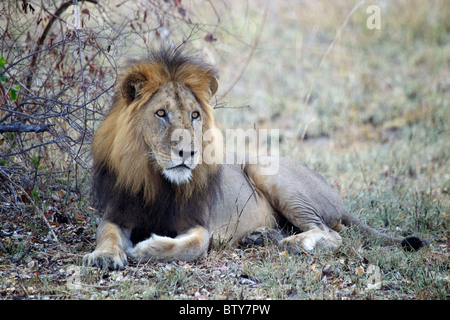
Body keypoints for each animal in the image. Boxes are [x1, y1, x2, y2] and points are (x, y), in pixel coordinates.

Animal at [82, 47, 424, 270]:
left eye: (194, 115)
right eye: (161, 113)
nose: (188, 152)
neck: (155, 178)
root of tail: (337, 197)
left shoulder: (198, 224)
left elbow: (189, 246)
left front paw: (145, 249)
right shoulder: (117, 212)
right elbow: (106, 234)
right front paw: (104, 256)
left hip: (264, 167)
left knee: (332, 234)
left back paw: (292, 243)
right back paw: (262, 236)